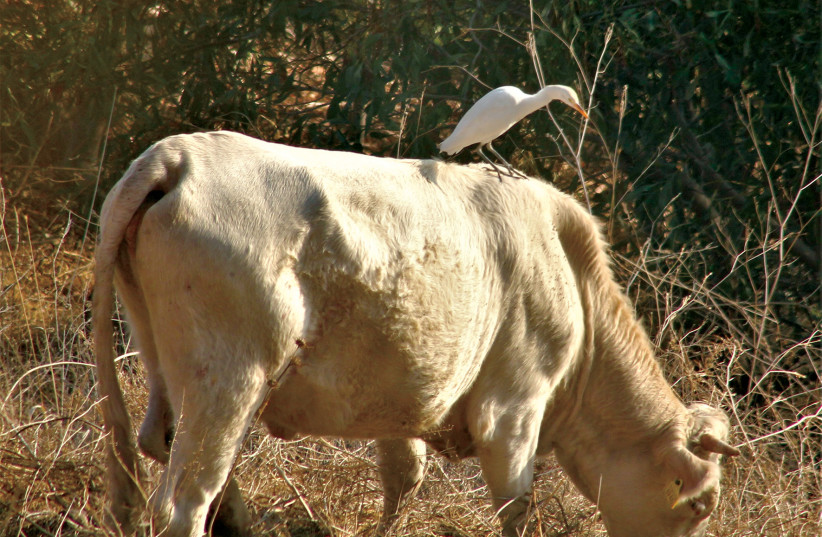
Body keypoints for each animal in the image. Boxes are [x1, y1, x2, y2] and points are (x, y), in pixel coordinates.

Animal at [93, 131, 739, 537]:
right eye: (699, 503)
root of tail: (180, 153)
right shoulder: (513, 407)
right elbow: (516, 505)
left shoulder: (397, 398)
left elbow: (404, 477)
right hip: (227, 381)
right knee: (183, 503)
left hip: (165, 362)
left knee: (159, 441)